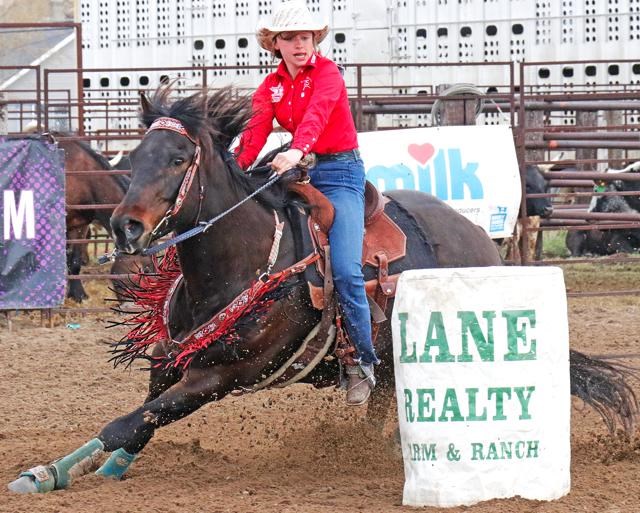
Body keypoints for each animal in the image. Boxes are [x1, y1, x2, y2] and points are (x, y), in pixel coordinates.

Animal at [8, 87, 636, 492]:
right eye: (135, 157)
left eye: (180, 157)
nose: (125, 227)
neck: (238, 265)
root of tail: (482, 238)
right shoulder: (171, 361)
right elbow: (140, 420)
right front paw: (61, 470)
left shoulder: (224, 374)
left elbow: (125, 423)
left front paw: (57, 473)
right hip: (389, 360)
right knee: (380, 405)